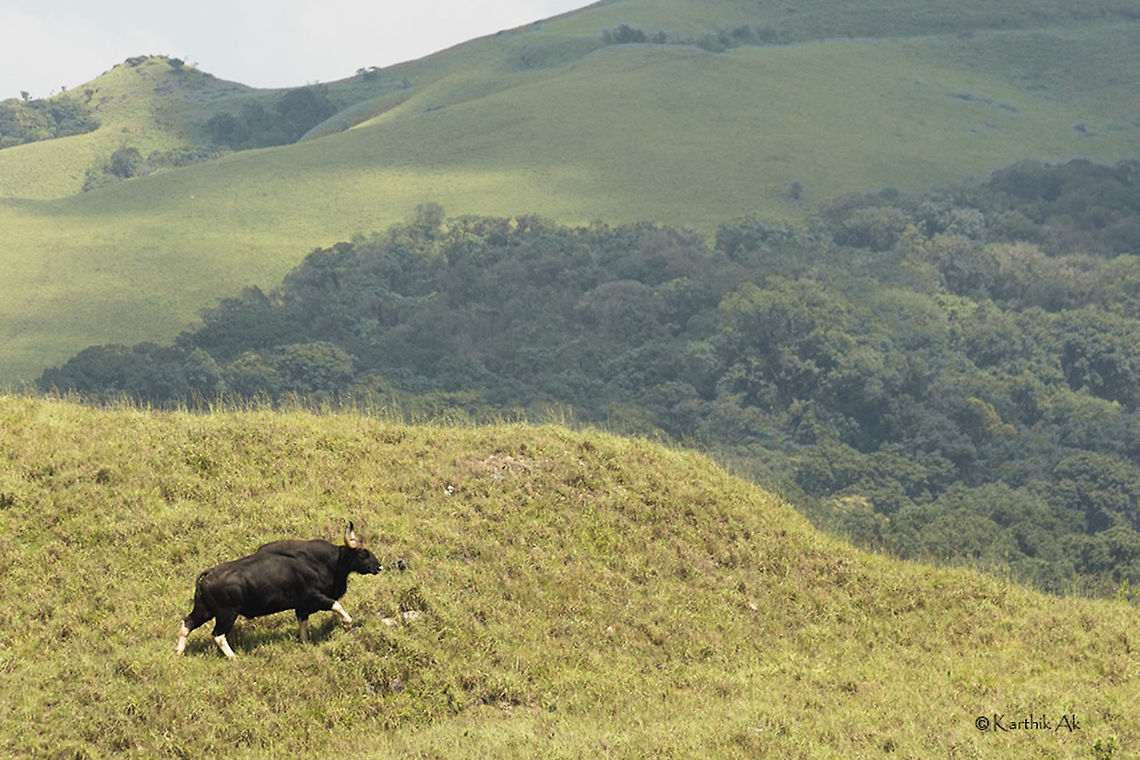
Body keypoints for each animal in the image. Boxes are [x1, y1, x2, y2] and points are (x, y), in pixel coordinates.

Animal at [175, 522, 383, 659]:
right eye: (363, 553)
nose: (379, 567)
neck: (325, 562)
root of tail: (208, 574)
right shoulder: (315, 597)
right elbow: (337, 605)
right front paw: (347, 623)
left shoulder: (301, 607)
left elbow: (303, 625)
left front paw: (304, 643)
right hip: (226, 614)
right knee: (218, 635)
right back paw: (233, 657)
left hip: (205, 610)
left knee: (187, 623)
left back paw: (178, 651)